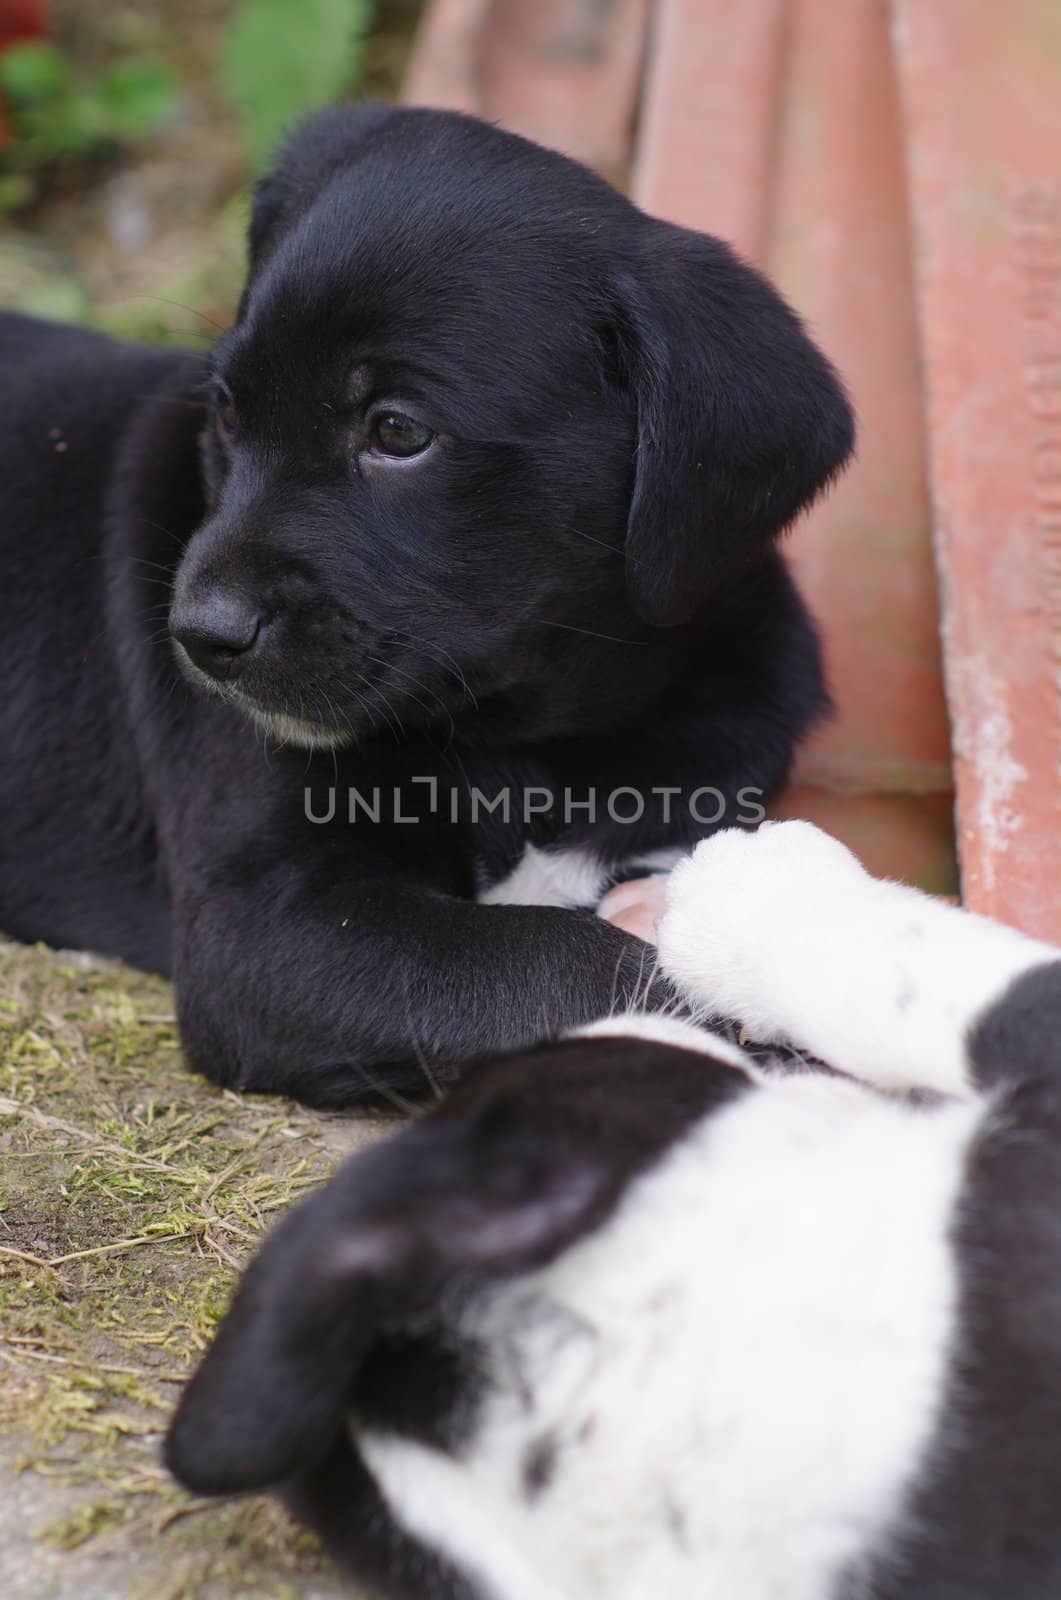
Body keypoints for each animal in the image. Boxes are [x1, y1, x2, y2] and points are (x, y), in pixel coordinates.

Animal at [0, 106, 851, 1107]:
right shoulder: (265, 922)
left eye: (398, 432)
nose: (200, 637)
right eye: (227, 414)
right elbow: (560, 958)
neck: (534, 738)